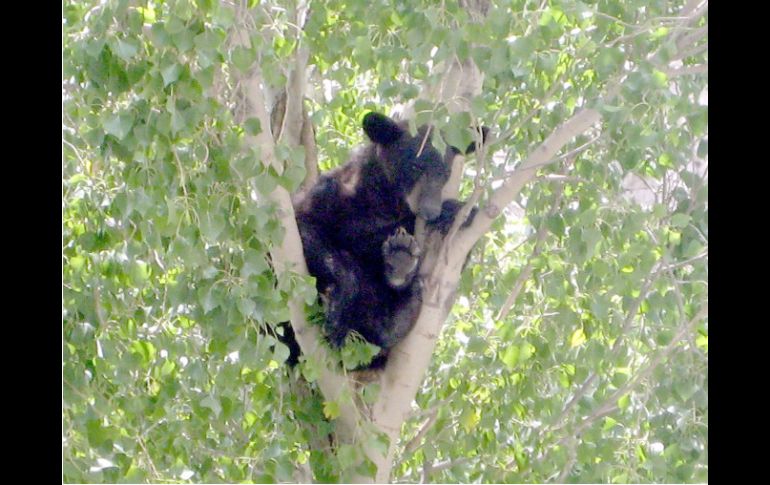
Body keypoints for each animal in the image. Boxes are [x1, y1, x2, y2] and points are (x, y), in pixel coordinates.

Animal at [284, 110, 480, 366]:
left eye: (445, 174)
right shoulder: (330, 195)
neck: (384, 201)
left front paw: (456, 211)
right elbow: (307, 228)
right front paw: (338, 311)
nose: (431, 211)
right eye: (415, 166)